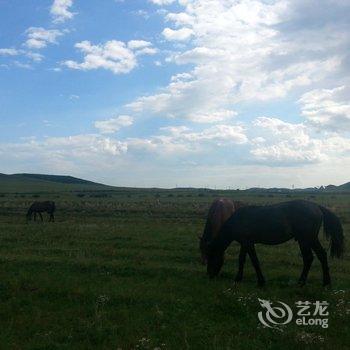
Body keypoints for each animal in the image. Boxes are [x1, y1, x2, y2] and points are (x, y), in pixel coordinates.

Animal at [204, 201, 344, 286]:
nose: (209, 275)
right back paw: (324, 283)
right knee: (319, 256)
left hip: (306, 239)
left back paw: (303, 282)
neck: (238, 220)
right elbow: (245, 260)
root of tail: (316, 206)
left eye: (211, 256)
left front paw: (255, 281)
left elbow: (251, 260)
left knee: (310, 258)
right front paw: (246, 279)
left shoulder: (247, 243)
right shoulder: (246, 243)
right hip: (309, 240)